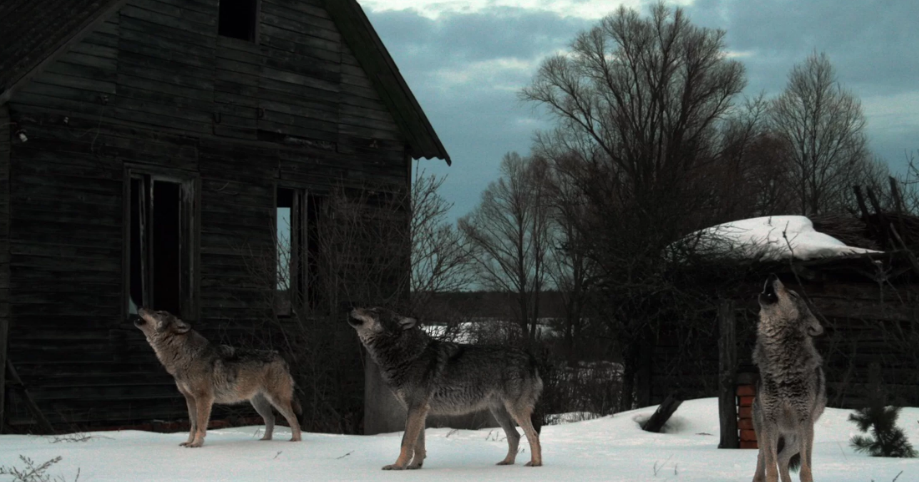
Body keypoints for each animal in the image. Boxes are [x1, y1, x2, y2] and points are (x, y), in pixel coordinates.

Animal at [135, 308, 304, 448]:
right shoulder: (189, 398)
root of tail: (281, 358)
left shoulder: (204, 398)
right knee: (271, 419)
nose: (140, 307)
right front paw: (189, 442)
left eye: (158, 313)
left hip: (277, 400)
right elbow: (193, 425)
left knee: (293, 418)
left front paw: (196, 444)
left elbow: (200, 425)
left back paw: (295, 441)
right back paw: (265, 440)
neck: (184, 355)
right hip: (258, 403)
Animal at [348, 306, 544, 468]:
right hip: (499, 412)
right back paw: (507, 462)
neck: (406, 354)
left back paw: (535, 463)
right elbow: (418, 443)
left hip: (515, 410)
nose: (352, 308)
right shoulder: (418, 410)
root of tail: (530, 357)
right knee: (515, 436)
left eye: (374, 312)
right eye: (368, 308)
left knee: (533, 435)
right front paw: (415, 466)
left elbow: (406, 441)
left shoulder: (416, 408)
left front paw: (397, 467)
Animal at [752, 274, 832, 482]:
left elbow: (805, 469)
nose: (772, 274)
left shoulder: (805, 423)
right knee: (763, 460)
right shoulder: (770, 421)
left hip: (799, 436)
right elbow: (771, 470)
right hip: (764, 431)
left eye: (793, 294)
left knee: (782, 458)